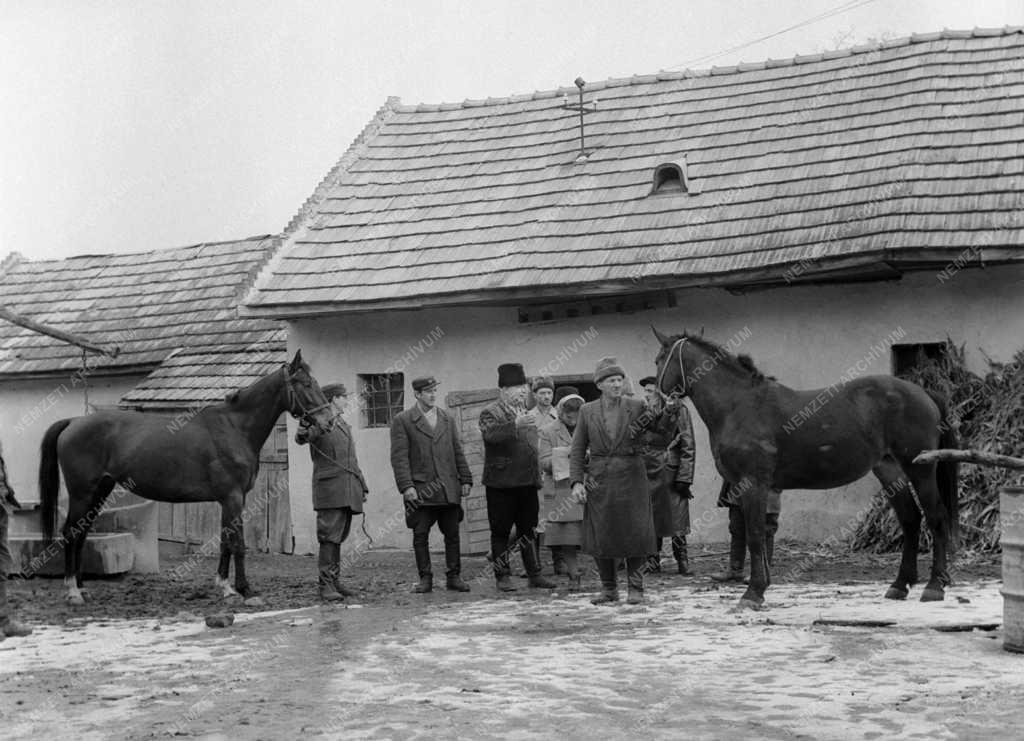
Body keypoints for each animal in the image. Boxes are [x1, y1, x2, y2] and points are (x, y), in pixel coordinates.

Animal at [37, 352, 333, 601]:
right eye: (306, 384)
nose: (328, 421)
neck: (234, 427)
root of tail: (73, 422)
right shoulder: (233, 497)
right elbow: (238, 543)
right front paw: (244, 589)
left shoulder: (230, 500)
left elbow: (225, 541)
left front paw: (224, 586)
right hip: (82, 493)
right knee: (71, 532)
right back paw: (72, 590)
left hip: (100, 490)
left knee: (82, 532)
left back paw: (81, 587)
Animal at [655, 327, 958, 605]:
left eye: (659, 360)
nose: (656, 403)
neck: (740, 406)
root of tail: (923, 392)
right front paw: (761, 587)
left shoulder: (753, 484)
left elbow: (755, 535)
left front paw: (753, 593)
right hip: (889, 470)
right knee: (910, 519)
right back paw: (899, 585)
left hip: (920, 469)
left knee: (936, 517)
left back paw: (934, 586)